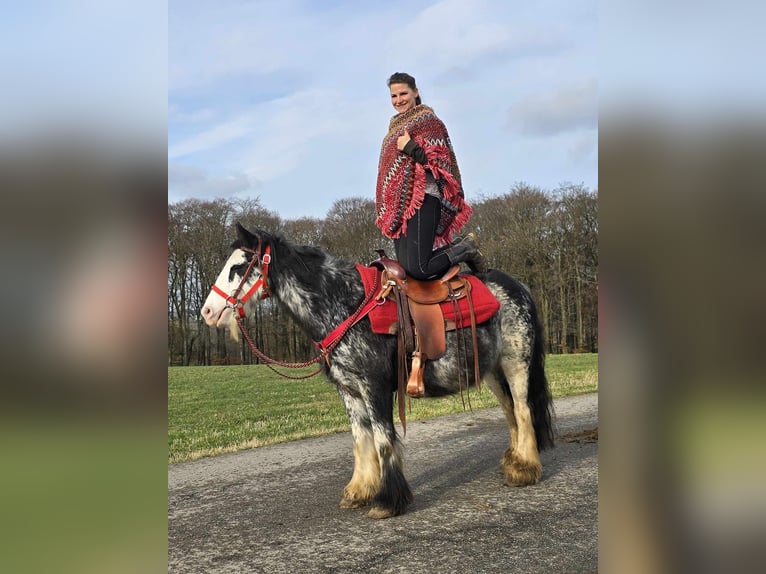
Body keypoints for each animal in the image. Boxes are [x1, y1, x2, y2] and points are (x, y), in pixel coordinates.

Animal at [201, 225, 556, 520]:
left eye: (237, 268)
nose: (207, 312)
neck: (344, 306)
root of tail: (519, 287)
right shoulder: (350, 391)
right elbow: (361, 440)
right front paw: (359, 491)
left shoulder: (375, 388)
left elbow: (384, 440)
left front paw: (388, 501)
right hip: (493, 372)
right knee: (510, 412)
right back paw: (514, 462)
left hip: (516, 363)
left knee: (523, 410)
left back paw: (525, 470)